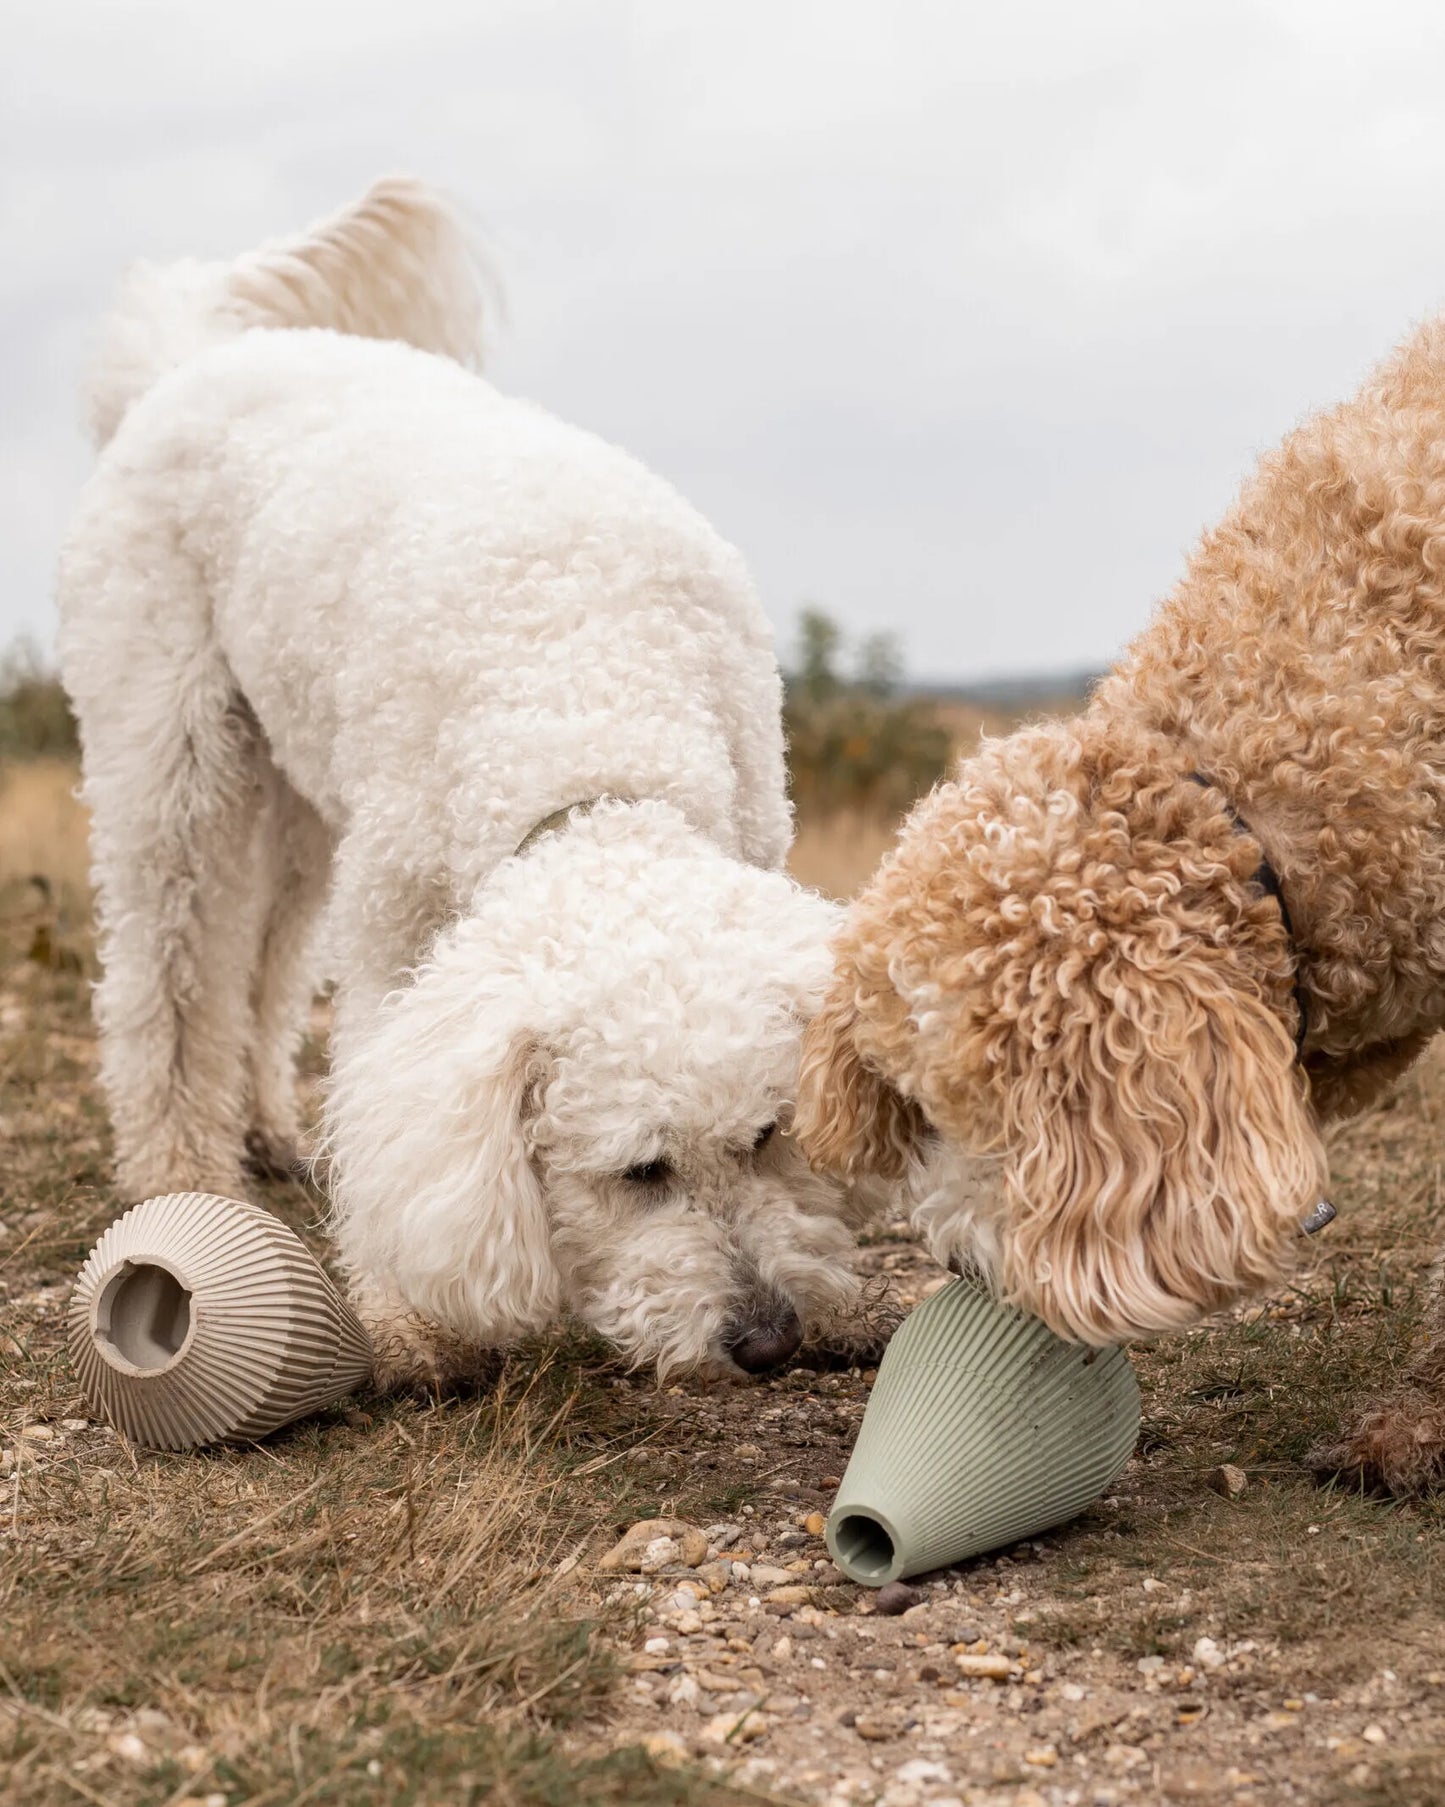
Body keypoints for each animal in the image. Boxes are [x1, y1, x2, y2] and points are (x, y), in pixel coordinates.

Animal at [62, 176, 863, 1380]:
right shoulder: (399, 941)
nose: (765, 1339)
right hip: (171, 757)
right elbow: (386, 1106)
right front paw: (412, 1318)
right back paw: (179, 1166)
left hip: (301, 810)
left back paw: (265, 1127)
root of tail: (193, 349)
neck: (593, 705)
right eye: (640, 1171)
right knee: (166, 967)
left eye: (768, 1135)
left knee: (266, 958)